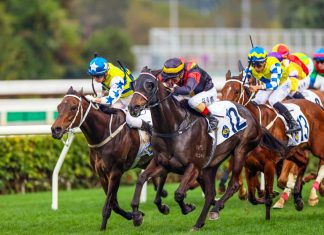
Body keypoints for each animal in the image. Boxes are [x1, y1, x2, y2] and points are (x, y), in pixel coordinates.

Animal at [51, 86, 167, 231]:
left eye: (73, 107)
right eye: (59, 106)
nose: (55, 129)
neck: (103, 133)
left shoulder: (116, 172)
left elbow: (108, 204)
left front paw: (103, 227)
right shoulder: (102, 174)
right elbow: (114, 203)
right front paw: (134, 215)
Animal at [126, 67, 284, 230]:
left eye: (150, 85)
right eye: (134, 84)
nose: (133, 107)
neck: (175, 127)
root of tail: (253, 117)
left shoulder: (193, 166)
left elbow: (178, 194)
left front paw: (188, 207)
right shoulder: (162, 163)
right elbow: (141, 179)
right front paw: (137, 215)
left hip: (240, 151)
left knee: (233, 184)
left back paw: (216, 209)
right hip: (211, 165)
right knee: (210, 193)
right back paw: (200, 222)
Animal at [221, 70, 324, 211]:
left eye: (236, 91)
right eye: (222, 91)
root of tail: (317, 107)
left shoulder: (272, 160)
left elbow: (279, 182)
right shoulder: (250, 163)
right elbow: (253, 197)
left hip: (317, 146)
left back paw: (313, 195)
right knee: (305, 162)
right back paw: (300, 196)